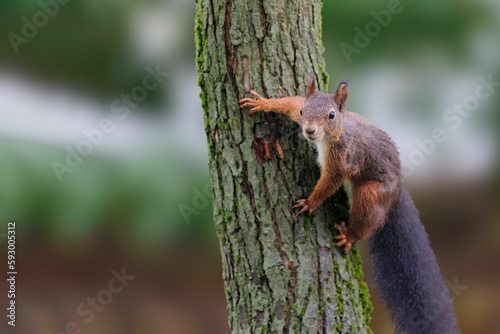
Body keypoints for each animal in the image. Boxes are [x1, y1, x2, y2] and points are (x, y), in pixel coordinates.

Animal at [240, 75, 458, 334]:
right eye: (304, 111)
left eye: (331, 115)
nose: (309, 131)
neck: (334, 134)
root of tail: (397, 192)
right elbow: (290, 102)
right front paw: (263, 102)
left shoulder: (342, 161)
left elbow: (329, 184)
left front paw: (310, 203)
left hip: (371, 193)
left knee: (367, 219)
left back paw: (350, 235)